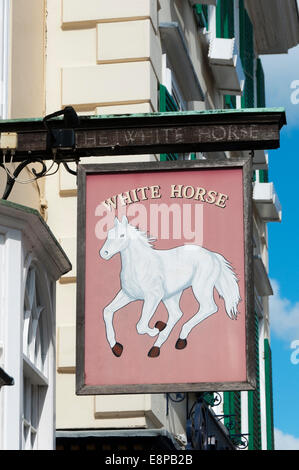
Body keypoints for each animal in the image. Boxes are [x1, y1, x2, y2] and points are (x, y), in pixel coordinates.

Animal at [99, 215, 243, 358]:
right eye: (109, 234)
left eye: (122, 235)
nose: (104, 253)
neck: (140, 265)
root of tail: (214, 256)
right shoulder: (128, 295)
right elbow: (107, 311)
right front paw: (116, 347)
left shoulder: (153, 296)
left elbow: (141, 326)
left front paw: (155, 329)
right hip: (171, 295)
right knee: (176, 314)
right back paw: (159, 346)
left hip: (200, 288)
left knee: (208, 308)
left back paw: (176, 338)